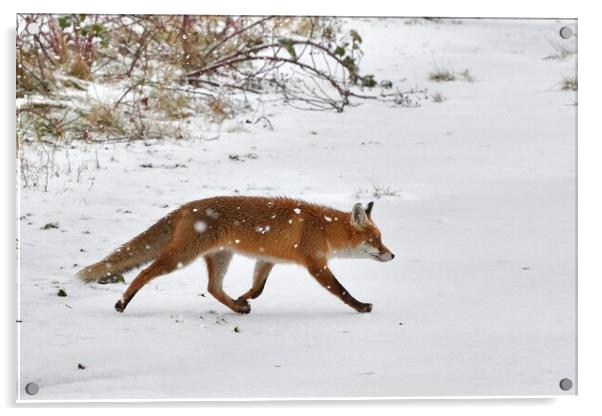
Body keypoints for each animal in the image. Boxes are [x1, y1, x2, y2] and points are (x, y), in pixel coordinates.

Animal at [76, 197, 394, 314]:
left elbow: (258, 288)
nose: (392, 255)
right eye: (376, 240)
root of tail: (185, 206)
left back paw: (237, 307)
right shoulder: (315, 264)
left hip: (220, 258)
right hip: (181, 256)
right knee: (144, 272)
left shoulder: (268, 259)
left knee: (213, 288)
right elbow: (341, 290)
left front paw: (244, 298)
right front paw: (360, 306)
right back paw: (122, 302)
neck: (323, 228)